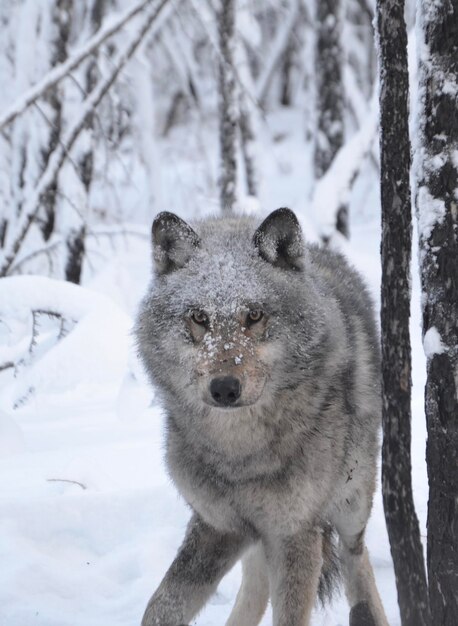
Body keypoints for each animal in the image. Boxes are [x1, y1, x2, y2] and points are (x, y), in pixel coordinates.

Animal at [134, 206, 388, 624]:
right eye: (198, 317)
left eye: (254, 315)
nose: (224, 388)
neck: (241, 453)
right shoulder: (218, 525)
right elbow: (161, 606)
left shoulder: (295, 533)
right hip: (256, 537)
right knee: (255, 584)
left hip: (350, 504)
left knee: (357, 561)